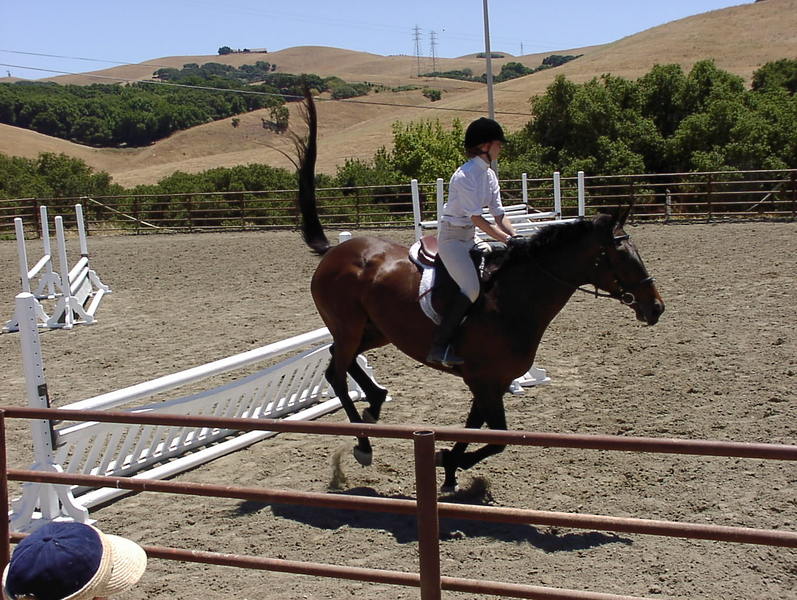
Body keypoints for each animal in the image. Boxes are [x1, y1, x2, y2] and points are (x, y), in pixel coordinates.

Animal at [294, 94, 665, 492]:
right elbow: (497, 438)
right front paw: (446, 460)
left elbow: (478, 431)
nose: (656, 307)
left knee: (339, 360)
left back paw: (376, 402)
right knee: (336, 371)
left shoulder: (491, 383)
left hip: (376, 330)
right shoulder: (484, 381)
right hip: (349, 326)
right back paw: (364, 444)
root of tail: (336, 251)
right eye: (622, 257)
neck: (516, 301)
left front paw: (449, 471)